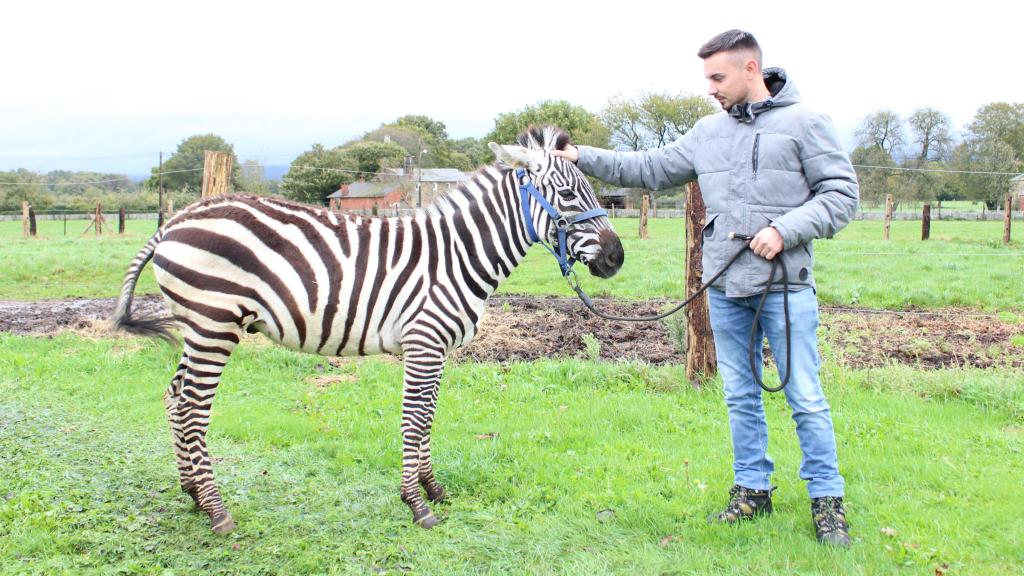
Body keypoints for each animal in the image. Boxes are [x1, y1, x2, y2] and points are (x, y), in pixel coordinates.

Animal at [112, 125, 622, 528]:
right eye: (568, 195)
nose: (617, 258)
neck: (455, 255)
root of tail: (174, 221)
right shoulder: (423, 342)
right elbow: (414, 419)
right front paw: (417, 505)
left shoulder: (437, 349)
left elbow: (428, 417)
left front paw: (432, 488)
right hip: (213, 325)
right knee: (193, 406)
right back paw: (217, 509)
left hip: (197, 329)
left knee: (174, 397)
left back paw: (193, 495)